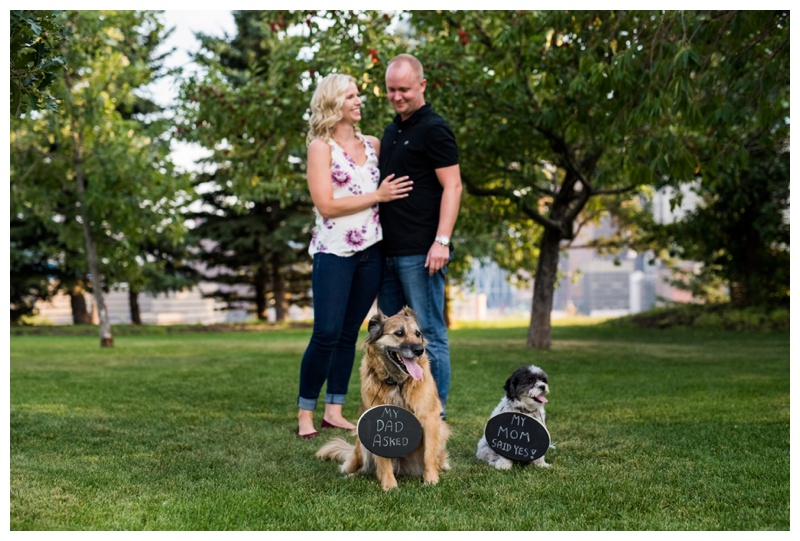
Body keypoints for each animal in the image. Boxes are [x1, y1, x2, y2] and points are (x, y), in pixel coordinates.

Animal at [316, 308, 450, 490]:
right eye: (399, 333)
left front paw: (431, 480)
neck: (396, 383)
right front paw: (389, 485)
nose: (419, 349)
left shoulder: (429, 419)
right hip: (360, 444)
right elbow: (384, 461)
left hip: (442, 430)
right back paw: (351, 475)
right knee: (359, 467)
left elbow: (429, 455)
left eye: (418, 334)